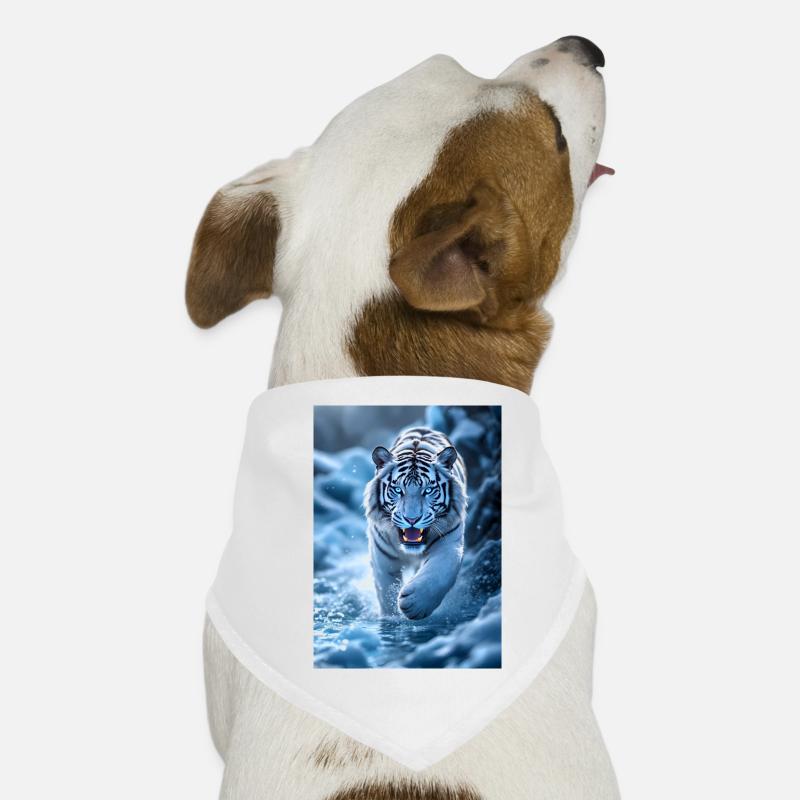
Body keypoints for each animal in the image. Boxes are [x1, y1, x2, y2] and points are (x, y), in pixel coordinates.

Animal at [364, 426, 468, 620]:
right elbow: (386, 589)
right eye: (398, 490)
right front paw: (391, 617)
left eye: (428, 490)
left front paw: (415, 604)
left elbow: (440, 571)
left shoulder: (450, 542)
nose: (412, 519)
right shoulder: (382, 555)